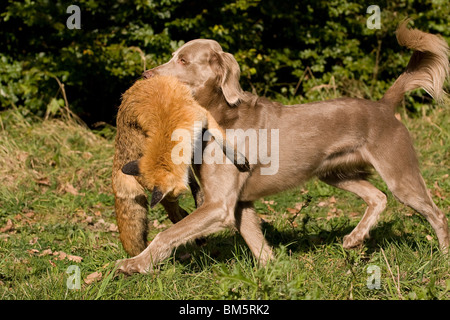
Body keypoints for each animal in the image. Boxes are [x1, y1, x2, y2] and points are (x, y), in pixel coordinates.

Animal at [111, 76, 246, 256]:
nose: (172, 199)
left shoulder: (202, 116)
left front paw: (239, 159)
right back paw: (196, 234)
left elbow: (222, 141)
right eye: (172, 194)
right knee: (176, 217)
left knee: (180, 214)